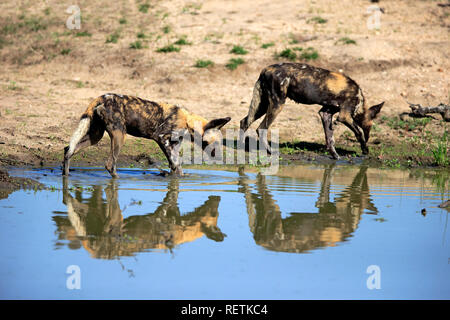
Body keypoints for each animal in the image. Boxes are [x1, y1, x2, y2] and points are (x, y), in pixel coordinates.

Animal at [62, 92, 232, 178]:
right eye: (216, 143)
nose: (220, 157)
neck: (188, 121)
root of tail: (103, 96)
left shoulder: (172, 146)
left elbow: (176, 166)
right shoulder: (161, 138)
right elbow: (174, 164)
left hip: (95, 136)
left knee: (67, 150)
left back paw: (66, 175)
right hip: (119, 136)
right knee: (110, 165)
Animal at [241, 62, 384, 159]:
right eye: (370, 126)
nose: (369, 136)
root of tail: (266, 69)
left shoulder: (326, 113)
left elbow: (330, 139)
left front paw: (335, 156)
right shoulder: (344, 117)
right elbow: (358, 133)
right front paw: (365, 149)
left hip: (262, 106)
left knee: (244, 122)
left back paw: (241, 146)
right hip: (277, 105)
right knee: (261, 128)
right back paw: (271, 151)